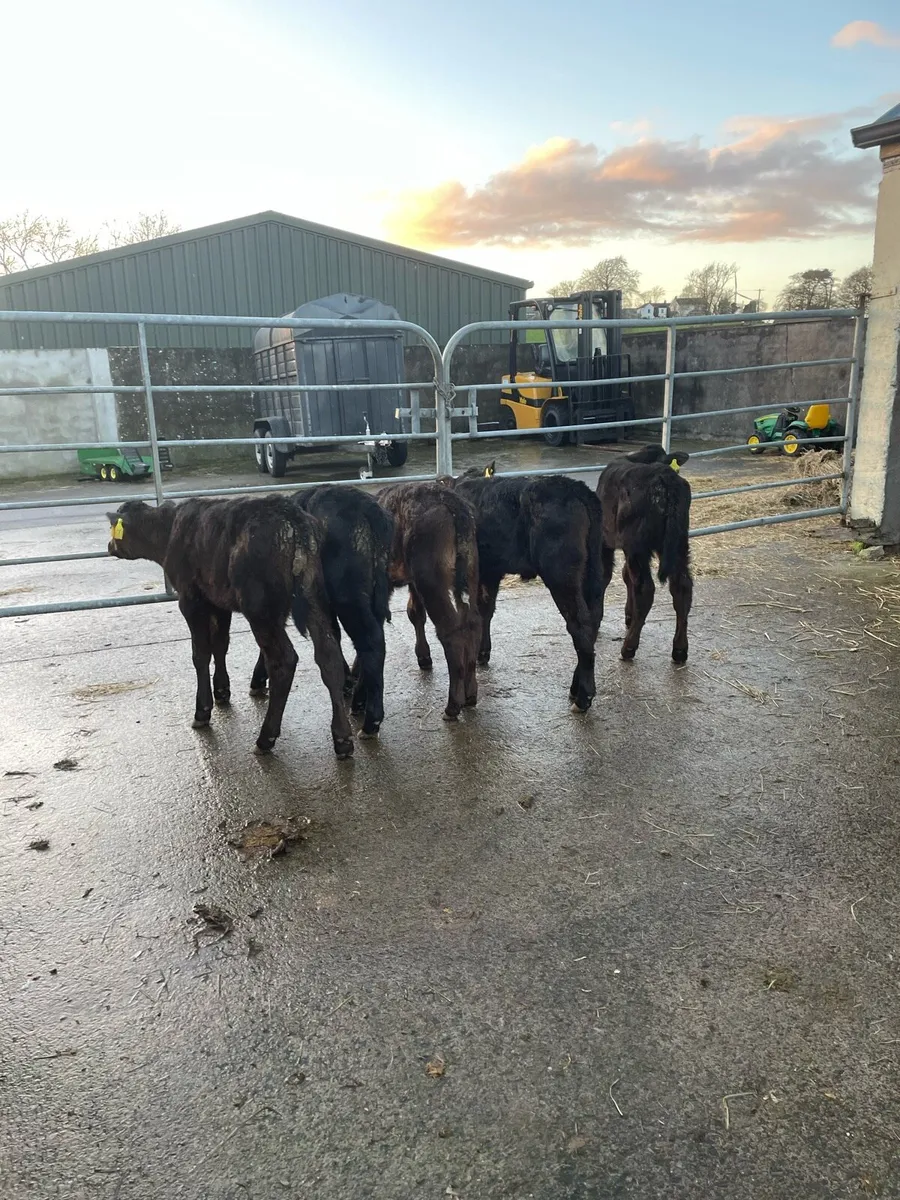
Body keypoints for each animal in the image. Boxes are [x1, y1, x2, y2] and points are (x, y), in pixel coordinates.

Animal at [106, 496, 353, 758]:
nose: (109, 546)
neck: (169, 530)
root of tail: (292, 518)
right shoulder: (218, 601)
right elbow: (220, 644)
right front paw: (222, 690)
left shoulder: (191, 599)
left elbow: (201, 653)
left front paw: (203, 710)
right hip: (313, 595)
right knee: (329, 656)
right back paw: (342, 738)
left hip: (260, 609)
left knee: (284, 661)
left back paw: (265, 738)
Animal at [248, 485, 394, 738]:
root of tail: (364, 504)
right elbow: (332, 634)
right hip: (372, 595)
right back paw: (359, 700)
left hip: (348, 597)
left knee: (371, 641)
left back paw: (370, 721)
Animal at [377, 481, 480, 721]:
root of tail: (450, 501)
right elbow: (414, 612)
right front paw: (423, 656)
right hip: (468, 572)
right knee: (472, 622)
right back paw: (470, 694)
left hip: (431, 579)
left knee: (451, 631)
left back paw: (453, 705)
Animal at [449, 466, 607, 713]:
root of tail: (574, 487)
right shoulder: (491, 571)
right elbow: (486, 610)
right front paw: (483, 652)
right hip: (592, 573)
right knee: (594, 619)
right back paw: (576, 687)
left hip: (561, 575)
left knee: (580, 624)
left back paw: (583, 697)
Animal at [595, 444, 693, 663]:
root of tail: (664, 476)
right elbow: (626, 576)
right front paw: (629, 615)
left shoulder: (606, 540)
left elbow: (605, 576)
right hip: (679, 542)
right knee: (682, 586)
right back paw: (680, 649)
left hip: (636, 544)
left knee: (645, 588)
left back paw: (629, 647)